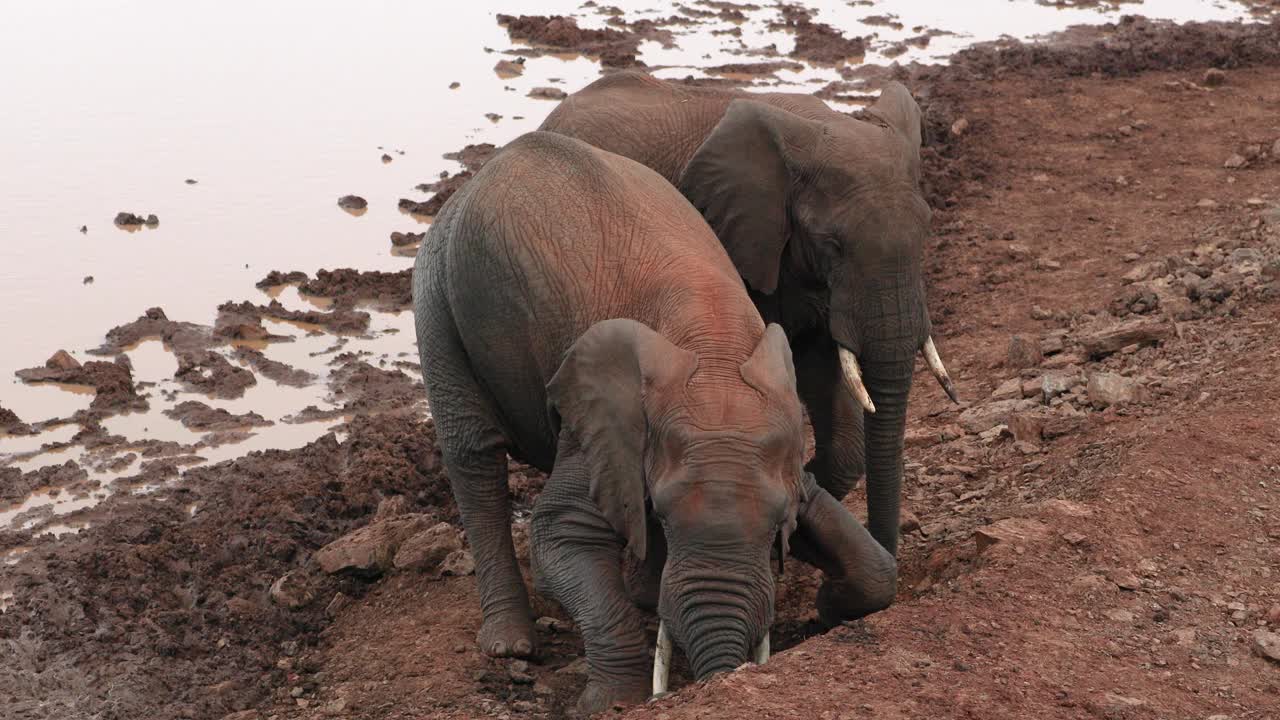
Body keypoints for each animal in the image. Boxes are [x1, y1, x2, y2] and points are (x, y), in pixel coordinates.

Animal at [414, 130, 896, 712]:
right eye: (662, 514)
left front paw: (829, 605)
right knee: (473, 453)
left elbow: (870, 564)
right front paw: (611, 703)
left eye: (776, 525)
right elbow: (560, 531)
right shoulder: (600, 425)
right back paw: (511, 645)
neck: (715, 349)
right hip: (437, 297)